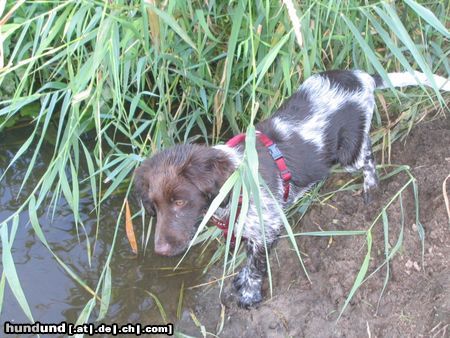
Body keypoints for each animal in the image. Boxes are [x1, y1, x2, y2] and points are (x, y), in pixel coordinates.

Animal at [134, 70, 450, 308]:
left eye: (180, 202)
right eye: (155, 206)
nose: (160, 250)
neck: (235, 185)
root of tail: (361, 76)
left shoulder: (266, 228)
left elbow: (256, 266)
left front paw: (249, 294)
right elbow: (246, 258)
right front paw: (241, 279)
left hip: (349, 153)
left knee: (369, 160)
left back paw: (370, 190)